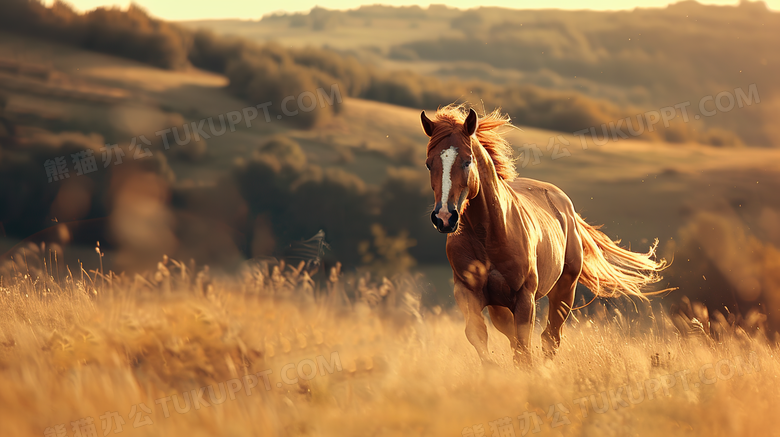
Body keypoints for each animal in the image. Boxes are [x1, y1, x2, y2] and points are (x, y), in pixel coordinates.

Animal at [420, 104, 664, 364]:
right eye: (429, 164)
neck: (488, 234)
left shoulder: (524, 298)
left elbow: (524, 348)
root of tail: (564, 203)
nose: (445, 217)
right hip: (500, 307)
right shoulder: (468, 294)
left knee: (550, 338)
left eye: (467, 162)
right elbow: (480, 338)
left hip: (564, 291)